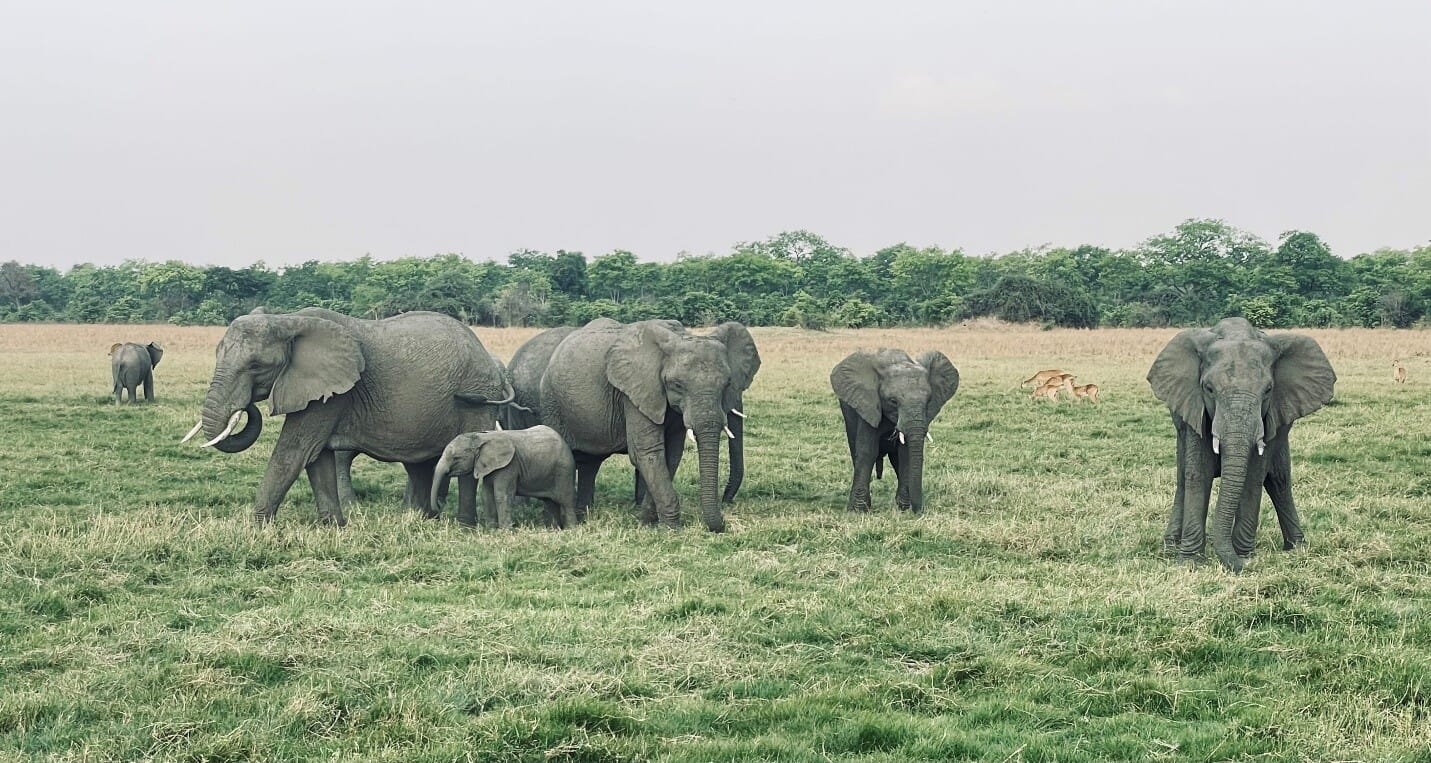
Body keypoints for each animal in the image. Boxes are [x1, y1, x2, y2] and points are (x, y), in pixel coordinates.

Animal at [181, 307, 513, 525]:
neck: (287, 319)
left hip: (477, 399)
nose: (246, 405)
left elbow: (295, 451)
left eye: (255, 366)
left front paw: (257, 528)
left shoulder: (332, 394)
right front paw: (334, 527)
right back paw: (420, 518)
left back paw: (463, 525)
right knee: (420, 465)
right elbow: (316, 457)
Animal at [430, 425, 577, 529]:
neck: (482, 437)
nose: (439, 508)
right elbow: (486, 495)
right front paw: (490, 530)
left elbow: (502, 495)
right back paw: (554, 529)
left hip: (564, 470)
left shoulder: (509, 466)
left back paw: (571, 529)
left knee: (566, 501)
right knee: (550, 503)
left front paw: (505, 531)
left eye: (456, 458)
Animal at [539, 319, 760, 531]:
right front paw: (671, 530)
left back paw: (584, 515)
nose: (723, 523)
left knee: (589, 463)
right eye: (677, 385)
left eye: (727, 383)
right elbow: (647, 452)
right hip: (552, 403)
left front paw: (646, 521)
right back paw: (556, 524)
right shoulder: (635, 391)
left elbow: (671, 454)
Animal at [831, 348, 960, 513]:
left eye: (929, 401)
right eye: (893, 401)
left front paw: (904, 508)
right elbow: (867, 451)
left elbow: (905, 453)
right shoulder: (868, 404)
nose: (919, 511)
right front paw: (858, 511)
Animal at [1148, 317, 1336, 572]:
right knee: (1182, 478)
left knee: (1279, 480)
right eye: (1208, 389)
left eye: (1268, 390)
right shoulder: (1194, 406)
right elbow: (1199, 473)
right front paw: (1190, 563)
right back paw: (1170, 548)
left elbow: (1253, 476)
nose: (1239, 566)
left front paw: (1243, 556)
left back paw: (1297, 548)